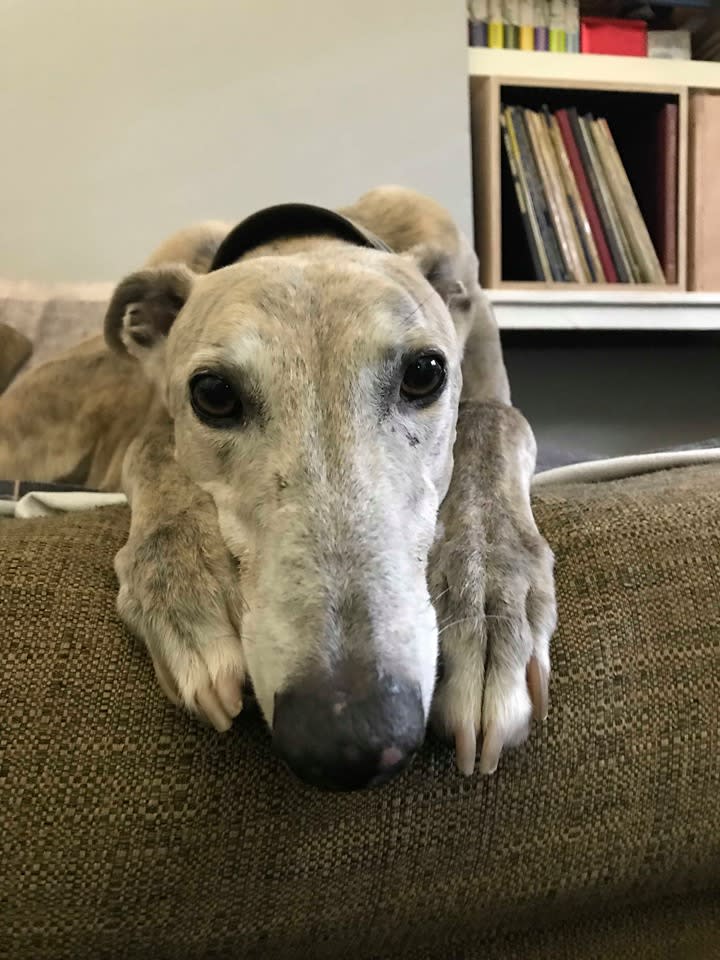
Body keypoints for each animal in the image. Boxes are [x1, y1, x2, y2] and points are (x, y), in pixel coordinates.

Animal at [0, 186, 556, 788]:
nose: (351, 734)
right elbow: (150, 444)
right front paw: (187, 589)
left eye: (425, 372)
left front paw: (486, 605)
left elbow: (494, 419)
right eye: (213, 393)